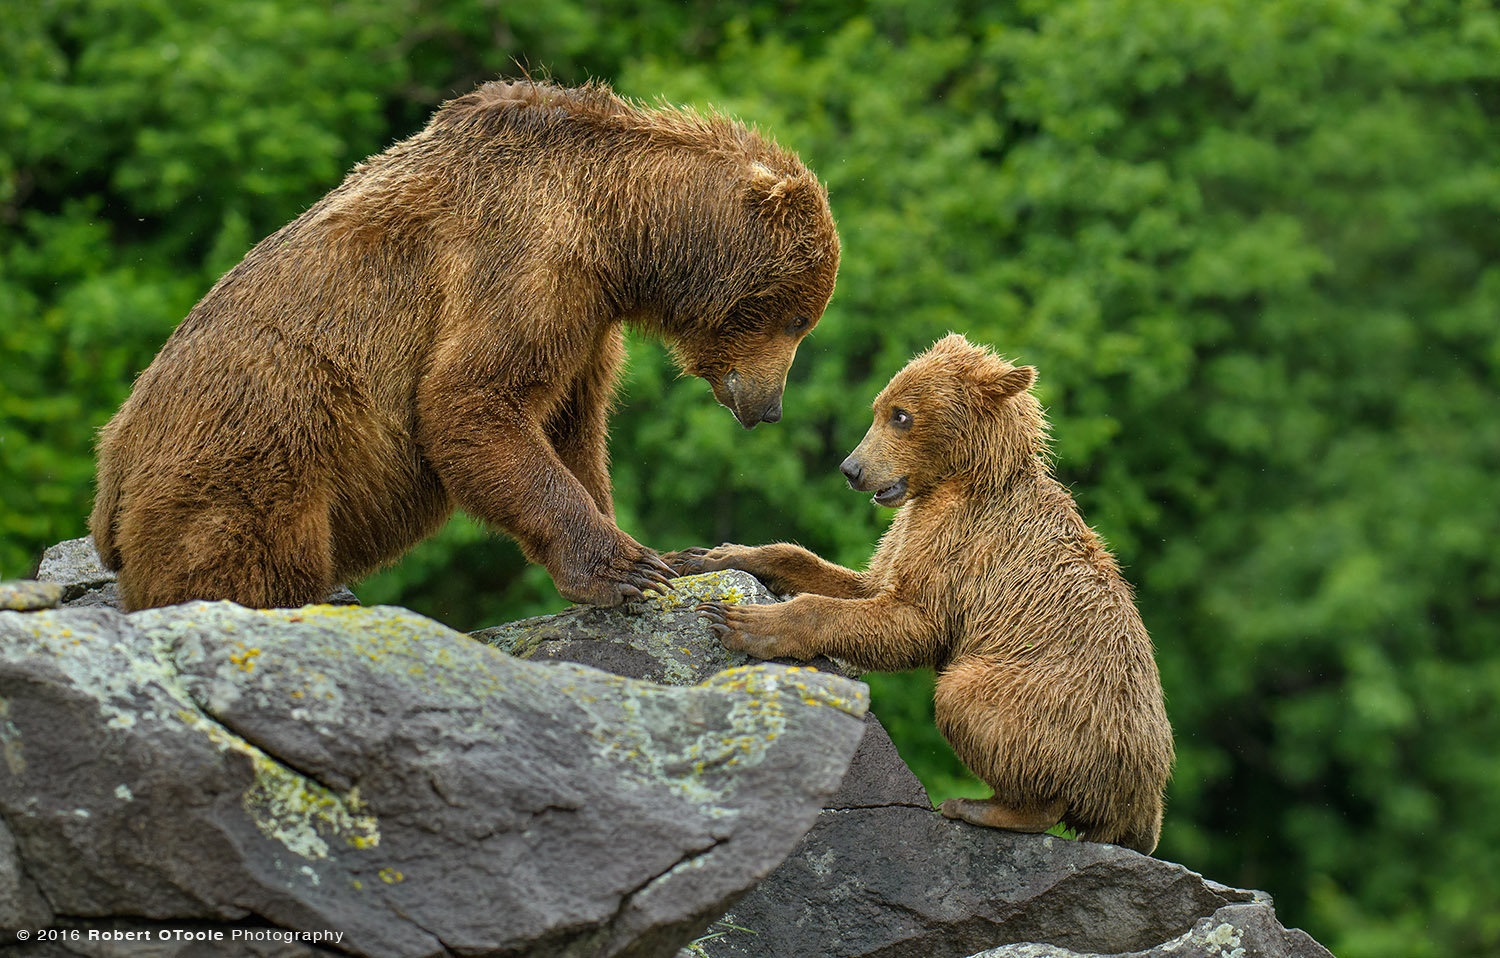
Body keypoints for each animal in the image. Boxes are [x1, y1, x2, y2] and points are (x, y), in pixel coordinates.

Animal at [90, 78, 846, 611]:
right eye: (795, 319)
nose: (769, 407)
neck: (621, 230)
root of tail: (110, 476)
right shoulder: (528, 260)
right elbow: (472, 399)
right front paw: (627, 567)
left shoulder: (588, 317)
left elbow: (569, 425)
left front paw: (647, 548)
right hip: (260, 442)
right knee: (246, 561)